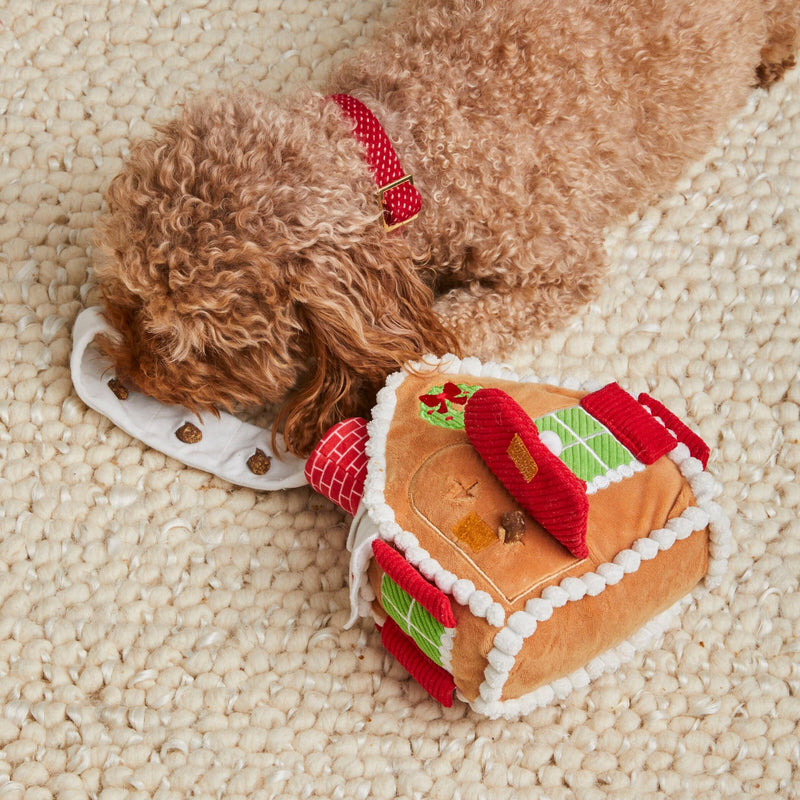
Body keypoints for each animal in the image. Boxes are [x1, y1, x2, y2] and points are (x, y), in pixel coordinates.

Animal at [95, 0, 800, 456]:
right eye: (130, 299)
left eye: (204, 347)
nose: (127, 366)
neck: (408, 150)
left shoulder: (557, 271)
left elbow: (449, 331)